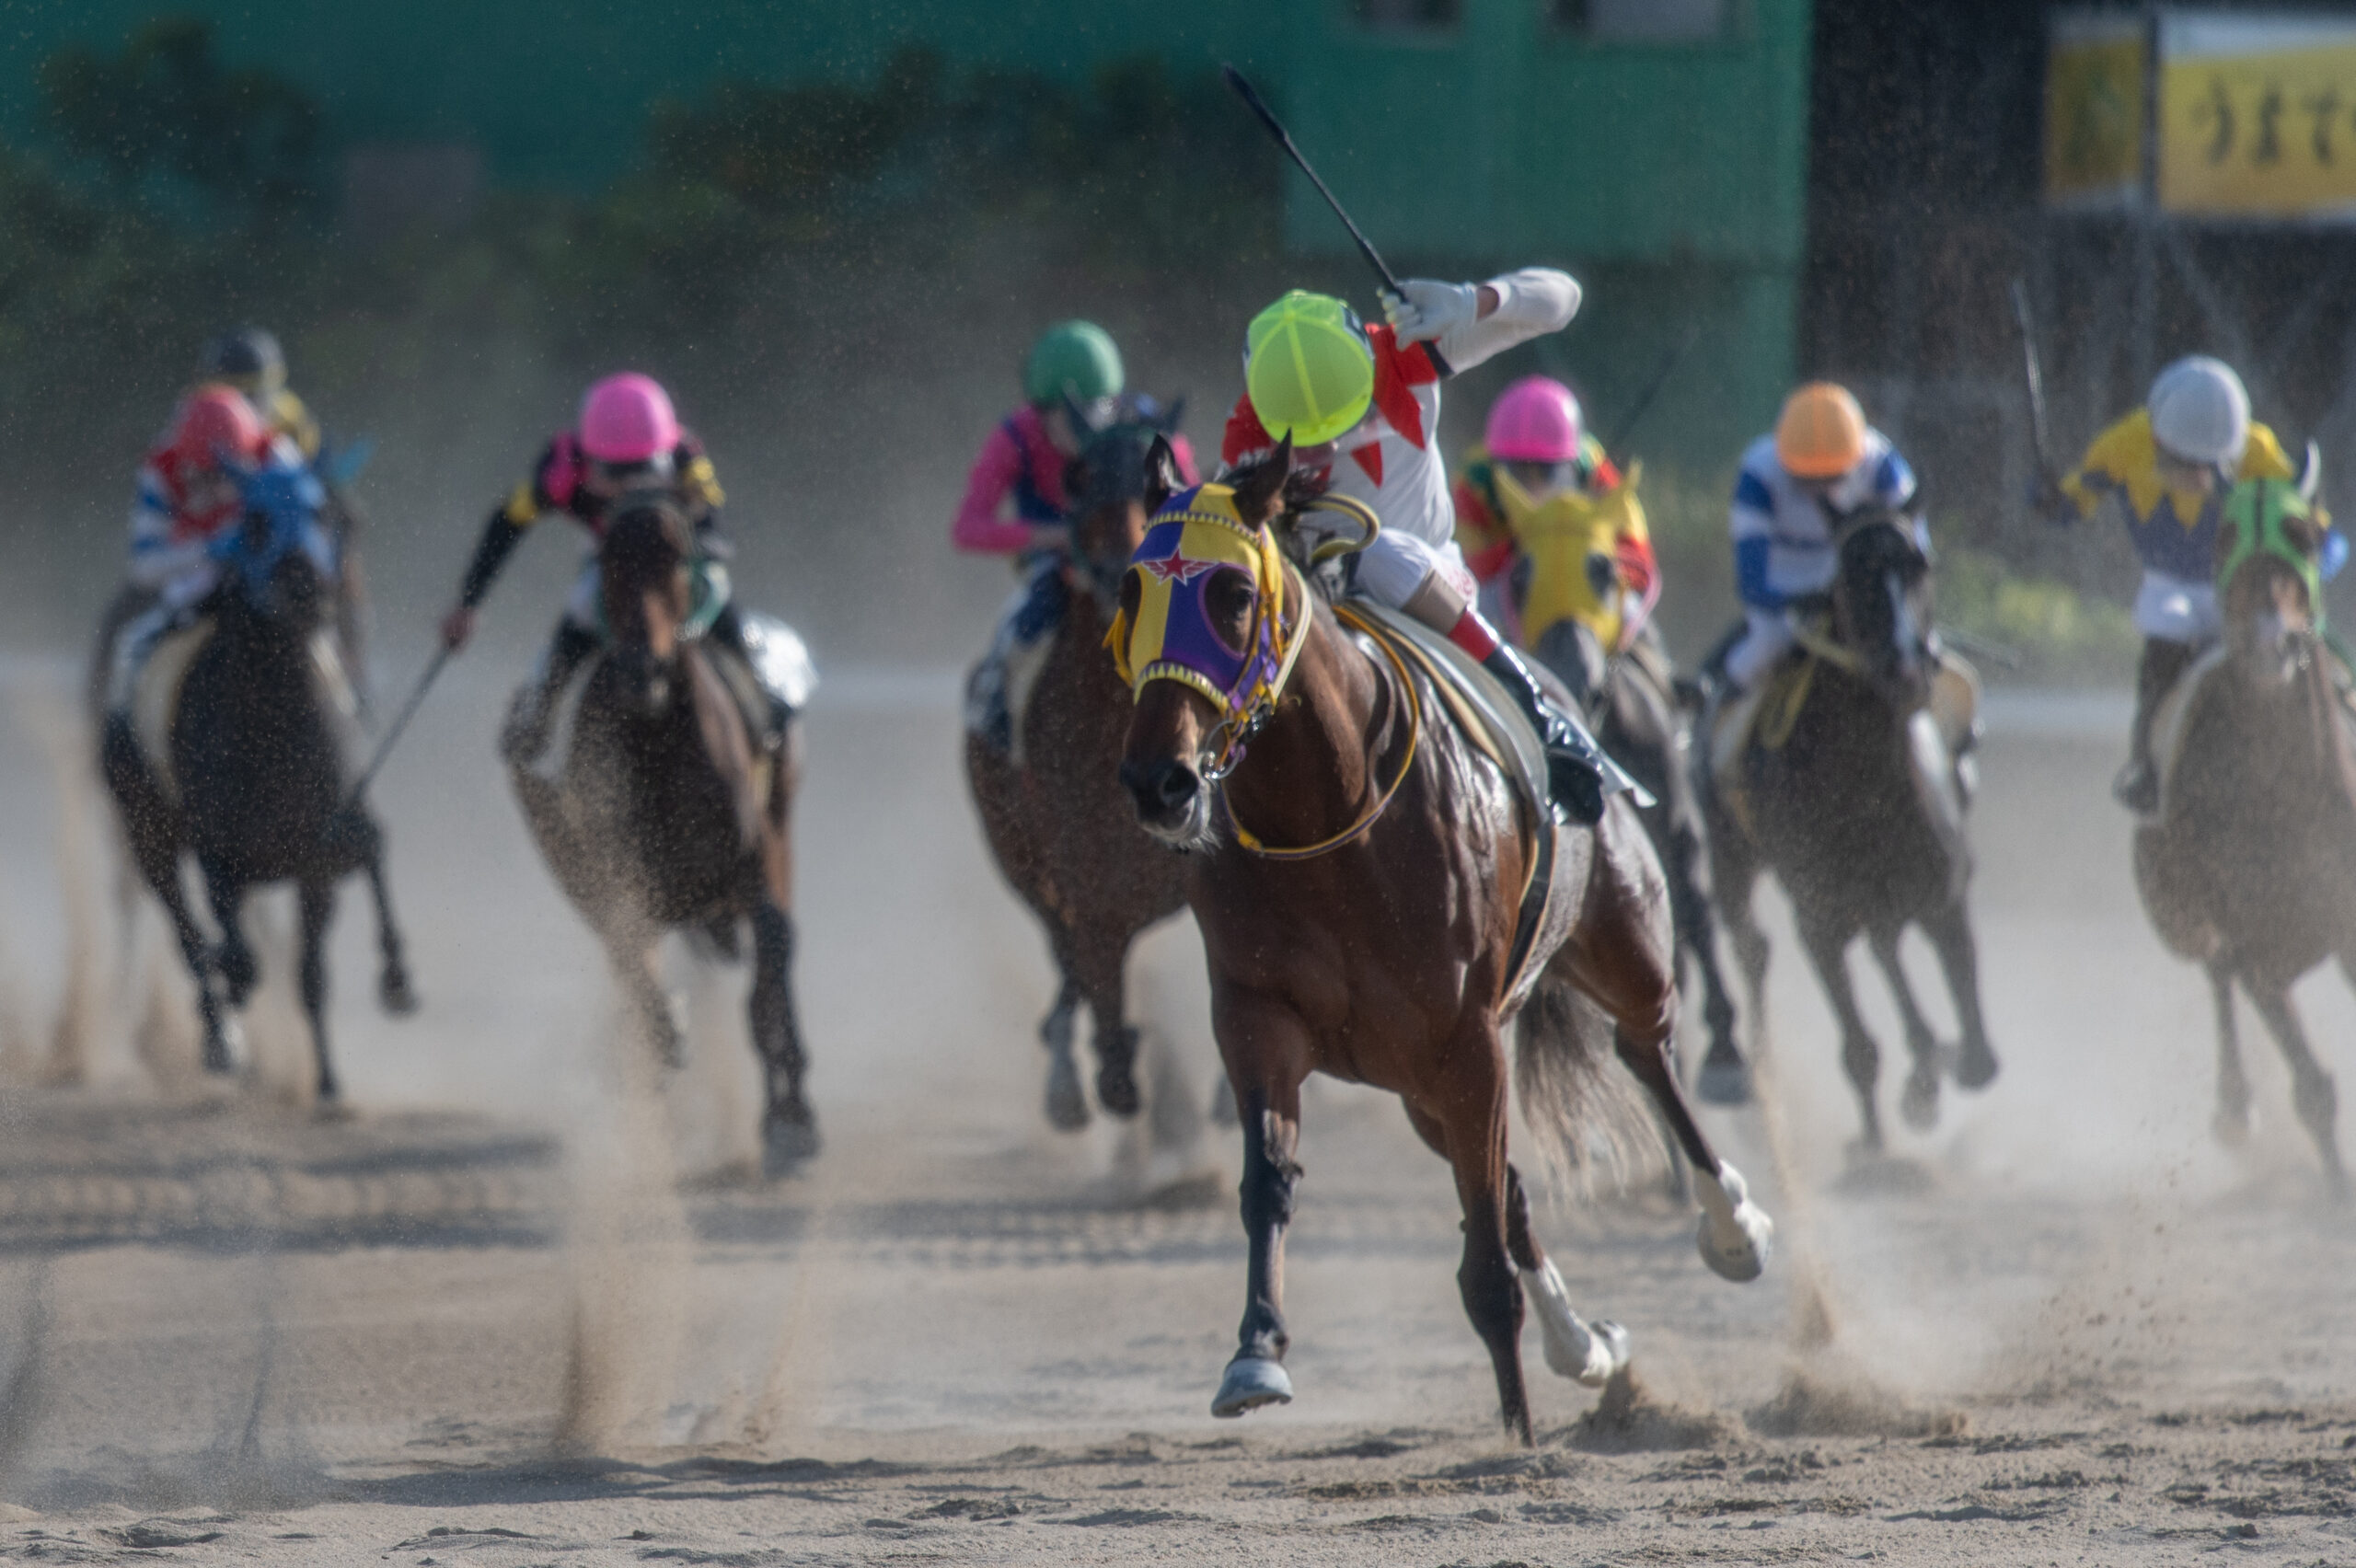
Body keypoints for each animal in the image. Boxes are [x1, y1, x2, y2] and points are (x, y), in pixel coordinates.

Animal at [97, 463, 418, 1103]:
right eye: (258, 522)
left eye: (330, 515)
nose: (309, 587)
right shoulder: (222, 856)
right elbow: (236, 951)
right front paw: (231, 1003)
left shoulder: (324, 850)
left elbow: (318, 960)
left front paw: (334, 1074)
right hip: (146, 831)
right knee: (183, 926)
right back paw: (221, 1035)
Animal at [507, 496, 817, 1175]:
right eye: (608, 563)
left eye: (677, 561)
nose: (642, 670)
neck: (657, 745)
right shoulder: (611, 872)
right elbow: (633, 965)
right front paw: (666, 1036)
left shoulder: (751, 864)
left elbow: (769, 979)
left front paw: (791, 1122)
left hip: (780, 818)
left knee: (774, 959)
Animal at [964, 406, 1187, 1129]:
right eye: (1080, 481)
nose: (1129, 566)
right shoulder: (1082, 876)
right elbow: (1090, 964)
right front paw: (1104, 1069)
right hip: (1015, 853)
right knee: (1061, 949)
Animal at [1699, 506, 1998, 1155]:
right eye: (1850, 575)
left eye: (1921, 565)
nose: (1907, 669)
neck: (1865, 784)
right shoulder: (1818, 917)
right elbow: (1860, 1047)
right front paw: (1878, 1135)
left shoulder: (1943, 891)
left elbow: (1975, 1043)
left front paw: (1937, 1068)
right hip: (1732, 859)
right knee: (1750, 945)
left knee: (1886, 950)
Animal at [2134, 481, 2349, 1190]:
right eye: (2225, 537)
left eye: (2304, 535)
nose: (2268, 643)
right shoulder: (2254, 936)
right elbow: (2312, 1086)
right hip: (2175, 904)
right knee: (2215, 969)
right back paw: (2235, 1109)